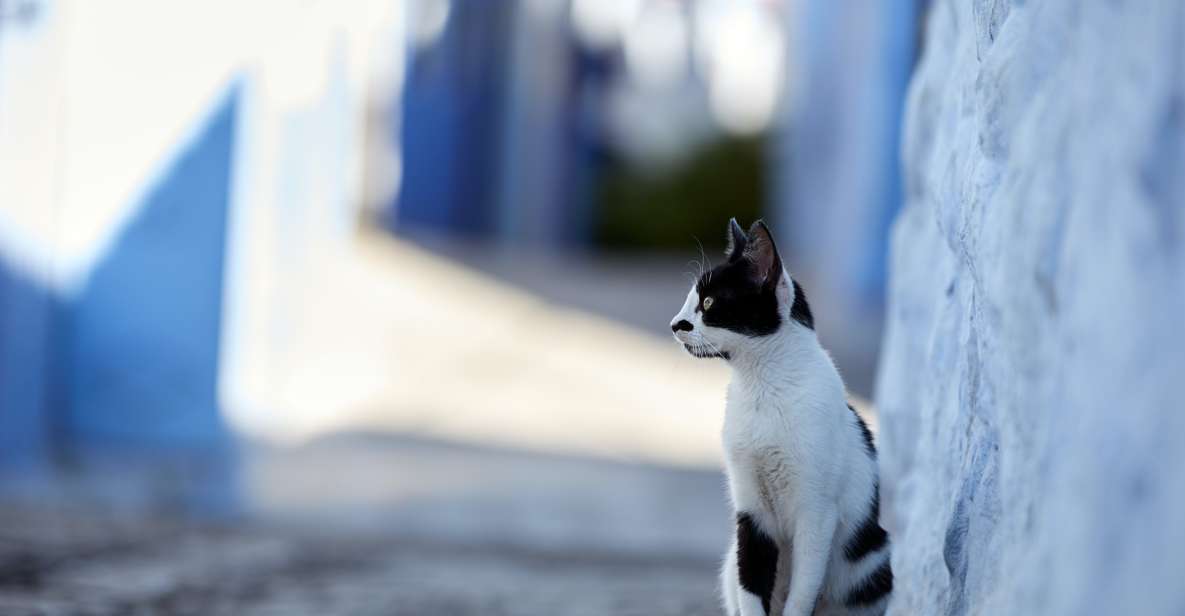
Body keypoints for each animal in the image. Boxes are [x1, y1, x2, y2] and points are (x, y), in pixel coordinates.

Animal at [673, 221, 891, 616]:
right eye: (690, 299)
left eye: (709, 303)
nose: (674, 324)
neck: (762, 386)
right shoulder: (750, 512)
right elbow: (751, 582)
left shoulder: (817, 513)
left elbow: (802, 592)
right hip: (729, 561)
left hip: (871, 559)